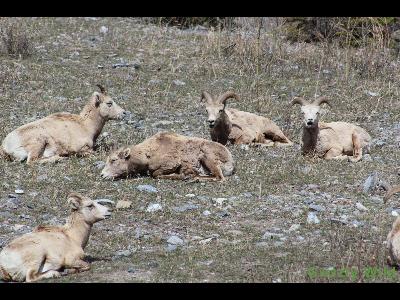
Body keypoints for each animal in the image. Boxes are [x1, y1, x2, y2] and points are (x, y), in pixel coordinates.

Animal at [0, 84, 128, 164]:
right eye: (109, 103)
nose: (124, 113)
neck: (85, 125)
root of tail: (6, 146)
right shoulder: (82, 149)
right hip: (38, 142)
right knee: (32, 161)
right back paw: (59, 158)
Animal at [101, 132, 236, 182]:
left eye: (113, 160)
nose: (102, 175)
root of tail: (230, 163)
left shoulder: (172, 163)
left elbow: (155, 174)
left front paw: (182, 175)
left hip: (207, 157)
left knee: (219, 177)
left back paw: (193, 178)